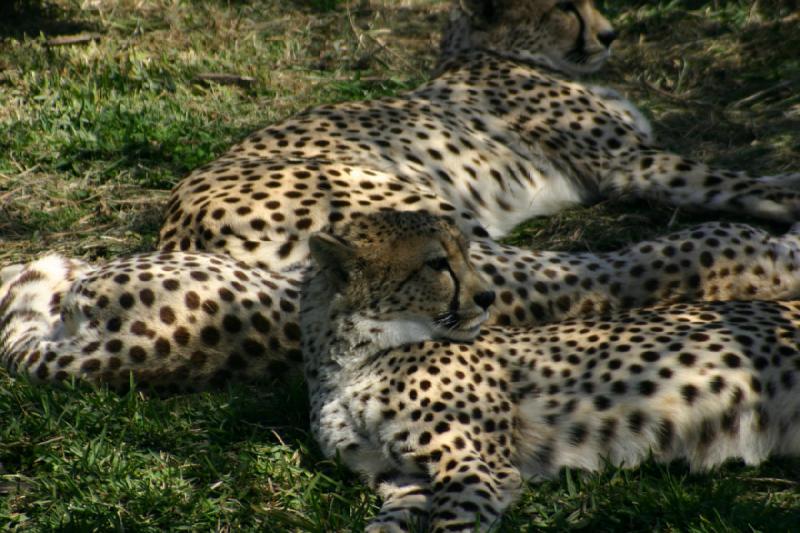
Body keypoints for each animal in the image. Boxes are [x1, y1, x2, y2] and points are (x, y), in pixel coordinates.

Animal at [300, 210, 800, 528]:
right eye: (438, 263)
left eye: (465, 253)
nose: (487, 297)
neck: (349, 361)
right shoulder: (403, 480)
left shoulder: (473, 466)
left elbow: (454, 522)